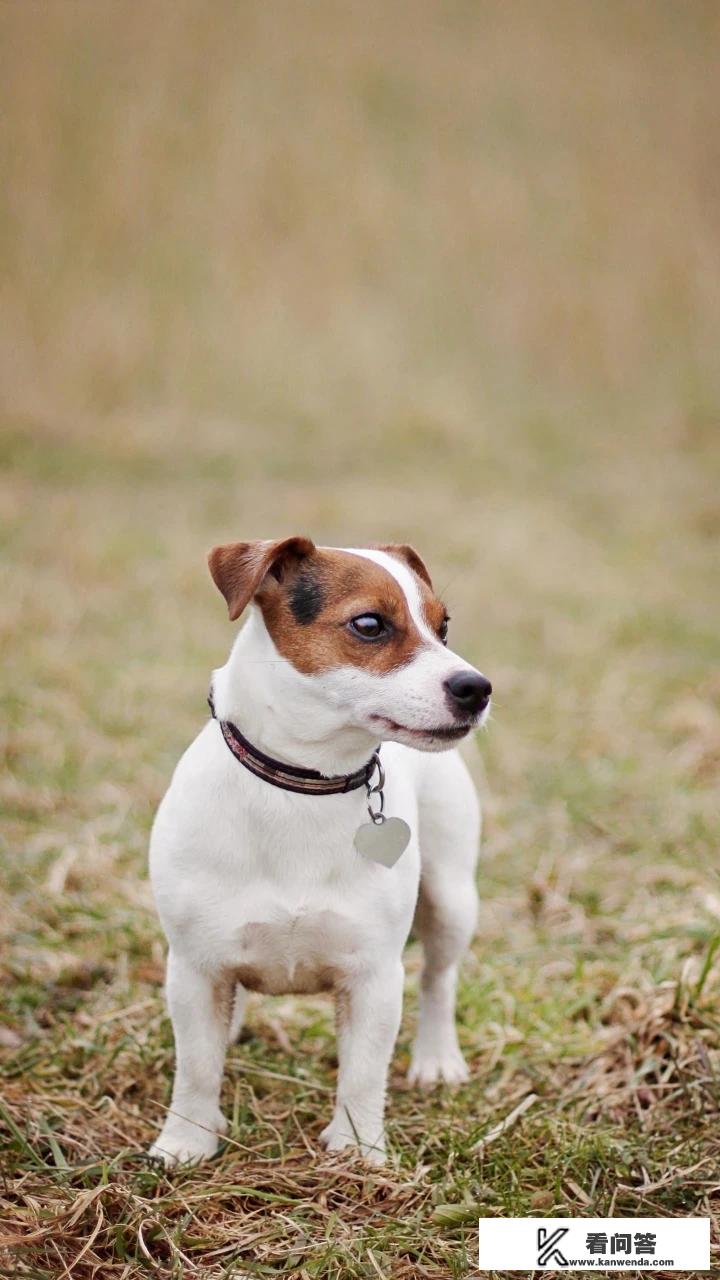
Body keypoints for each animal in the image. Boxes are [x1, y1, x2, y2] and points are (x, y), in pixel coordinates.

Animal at [148, 535, 489, 1167]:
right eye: (370, 624)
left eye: (443, 627)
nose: (476, 687)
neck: (304, 784)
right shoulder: (194, 969)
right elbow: (197, 1066)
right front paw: (186, 1141)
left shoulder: (373, 976)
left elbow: (363, 1073)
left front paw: (357, 1149)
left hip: (451, 898)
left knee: (439, 980)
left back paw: (436, 1059)